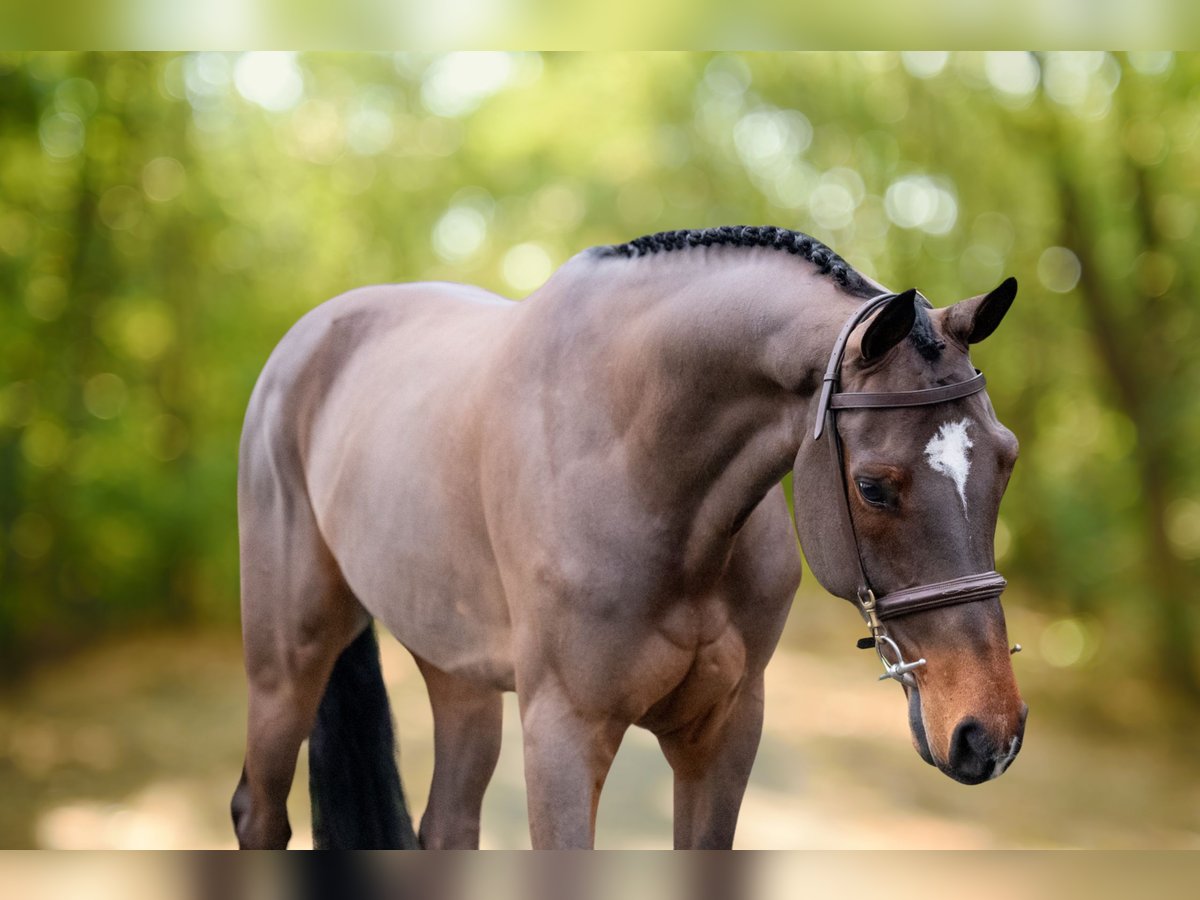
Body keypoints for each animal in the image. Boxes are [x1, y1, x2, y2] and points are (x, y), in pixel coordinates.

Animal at [229, 225, 1027, 854]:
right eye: (872, 486)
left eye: (1006, 458)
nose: (990, 734)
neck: (640, 465)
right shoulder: (563, 735)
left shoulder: (725, 731)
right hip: (288, 662)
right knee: (258, 811)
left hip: (457, 674)